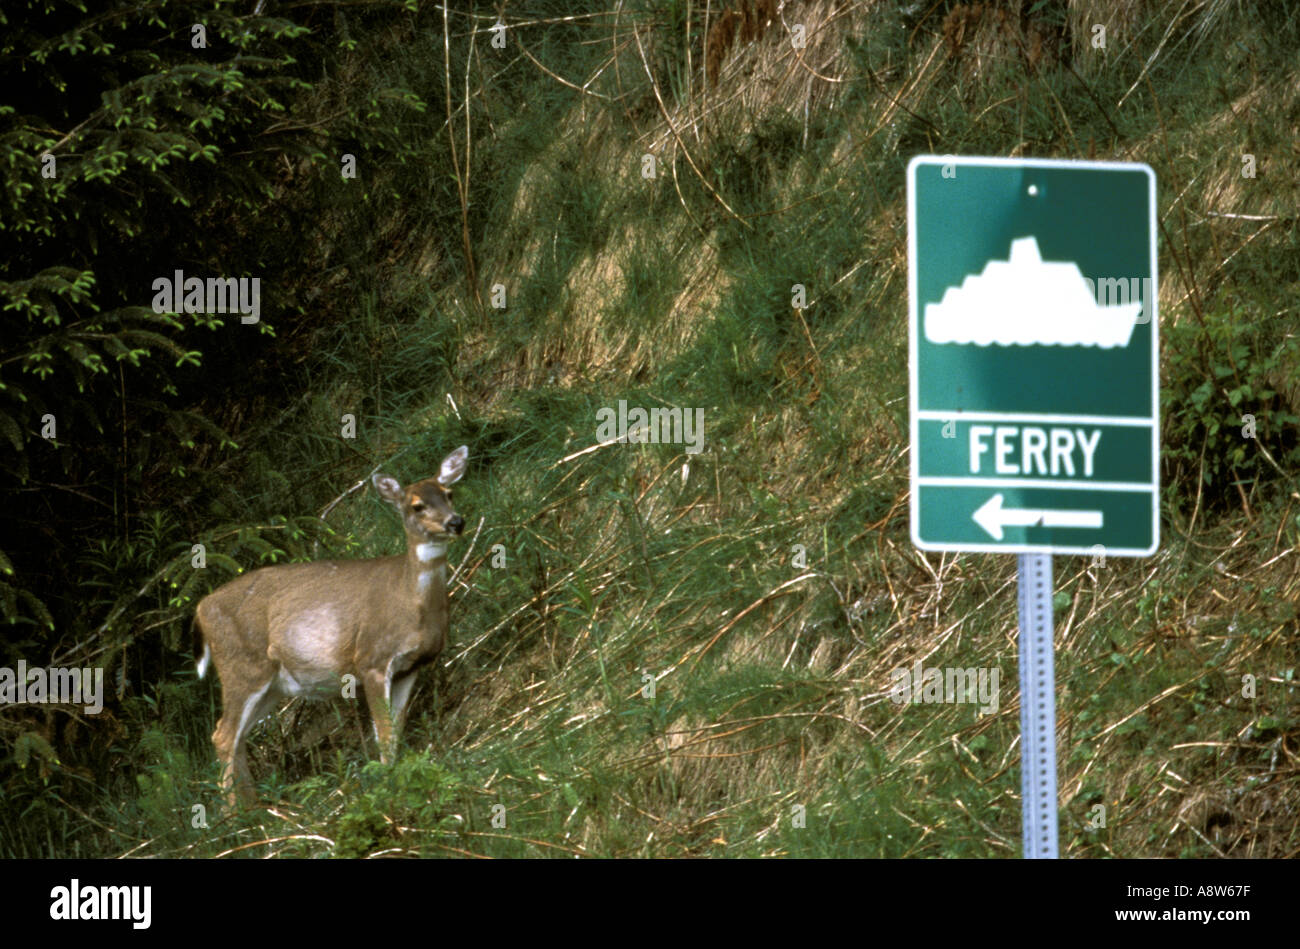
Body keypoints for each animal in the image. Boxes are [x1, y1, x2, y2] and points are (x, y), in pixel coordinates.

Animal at [194, 446, 468, 806]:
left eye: (449, 494)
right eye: (417, 505)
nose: (456, 521)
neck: (412, 601)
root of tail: (201, 608)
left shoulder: (411, 666)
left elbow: (396, 727)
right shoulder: (370, 659)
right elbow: (383, 731)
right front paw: (388, 784)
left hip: (272, 684)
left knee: (232, 736)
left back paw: (254, 809)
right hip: (242, 665)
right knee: (224, 736)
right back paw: (237, 815)